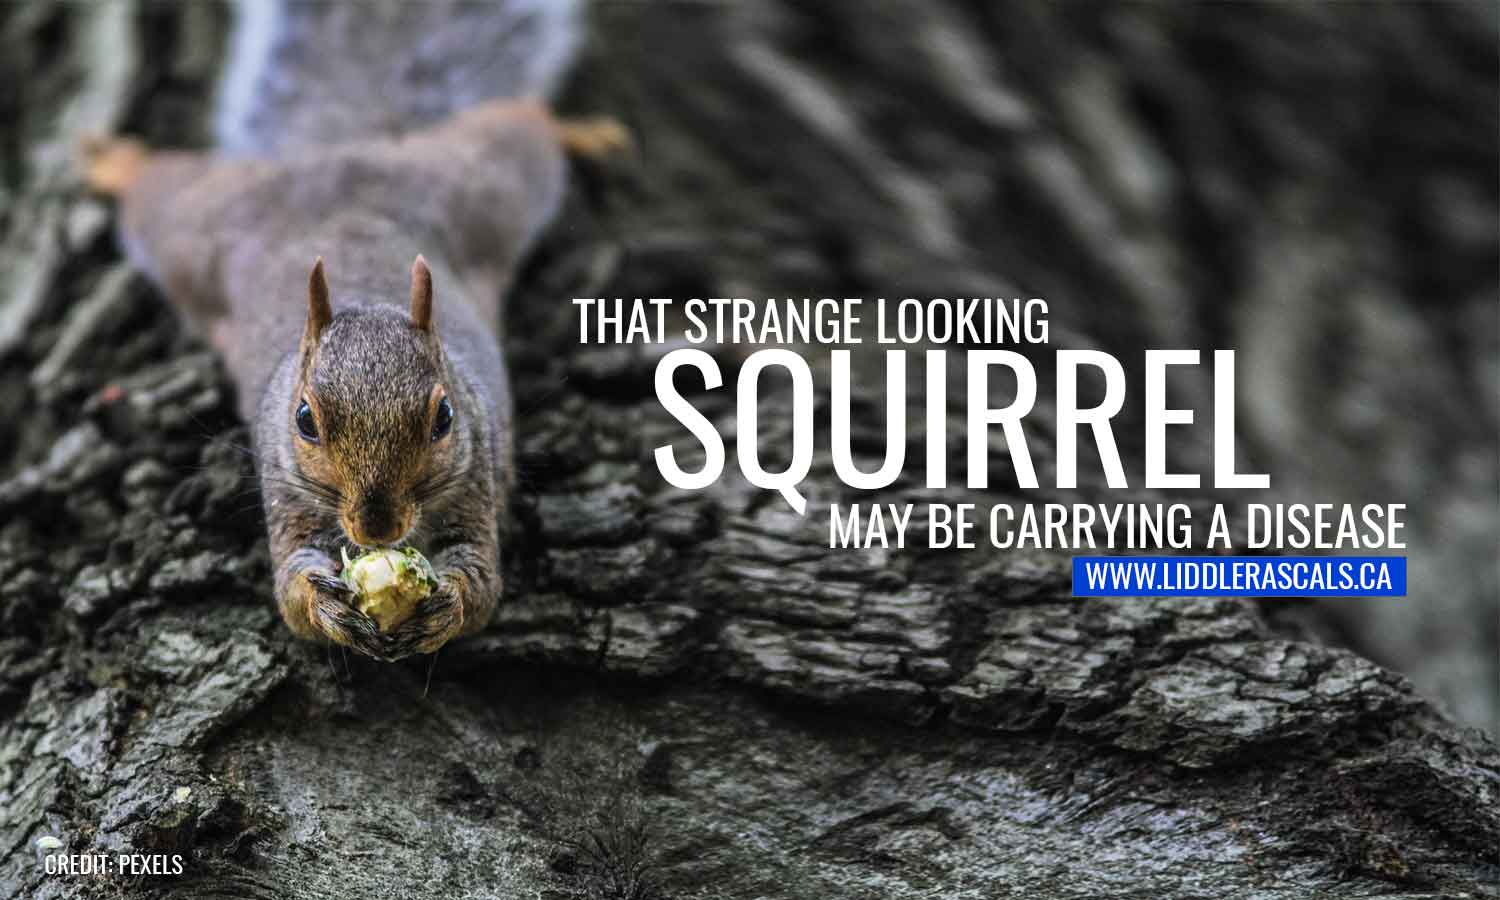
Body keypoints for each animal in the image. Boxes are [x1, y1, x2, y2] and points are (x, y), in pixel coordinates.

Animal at [81, 0, 626, 661]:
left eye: (444, 418)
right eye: (304, 420)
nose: (377, 528)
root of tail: (342, 151)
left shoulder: (476, 481)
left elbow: (482, 583)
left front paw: (445, 605)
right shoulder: (288, 494)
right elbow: (292, 592)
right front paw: (325, 604)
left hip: (484, 185)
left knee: (521, 123)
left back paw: (582, 131)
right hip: (197, 229)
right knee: (156, 187)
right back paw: (114, 160)